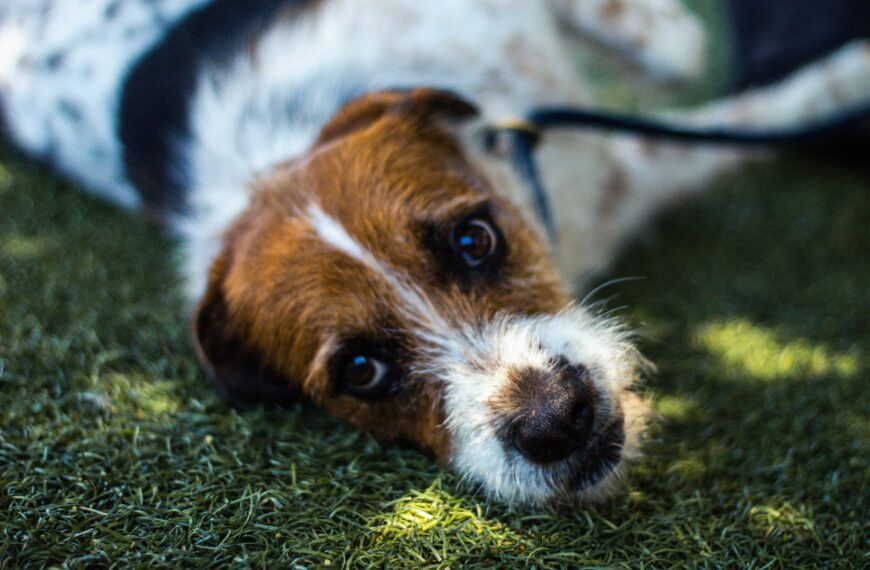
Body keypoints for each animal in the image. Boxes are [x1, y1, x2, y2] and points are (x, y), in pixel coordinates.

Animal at [1, 1, 870, 506]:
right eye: (361, 371)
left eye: (474, 238)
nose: (557, 421)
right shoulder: (631, 170)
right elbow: (746, 117)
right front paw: (840, 82)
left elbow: (670, 51)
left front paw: (674, 43)